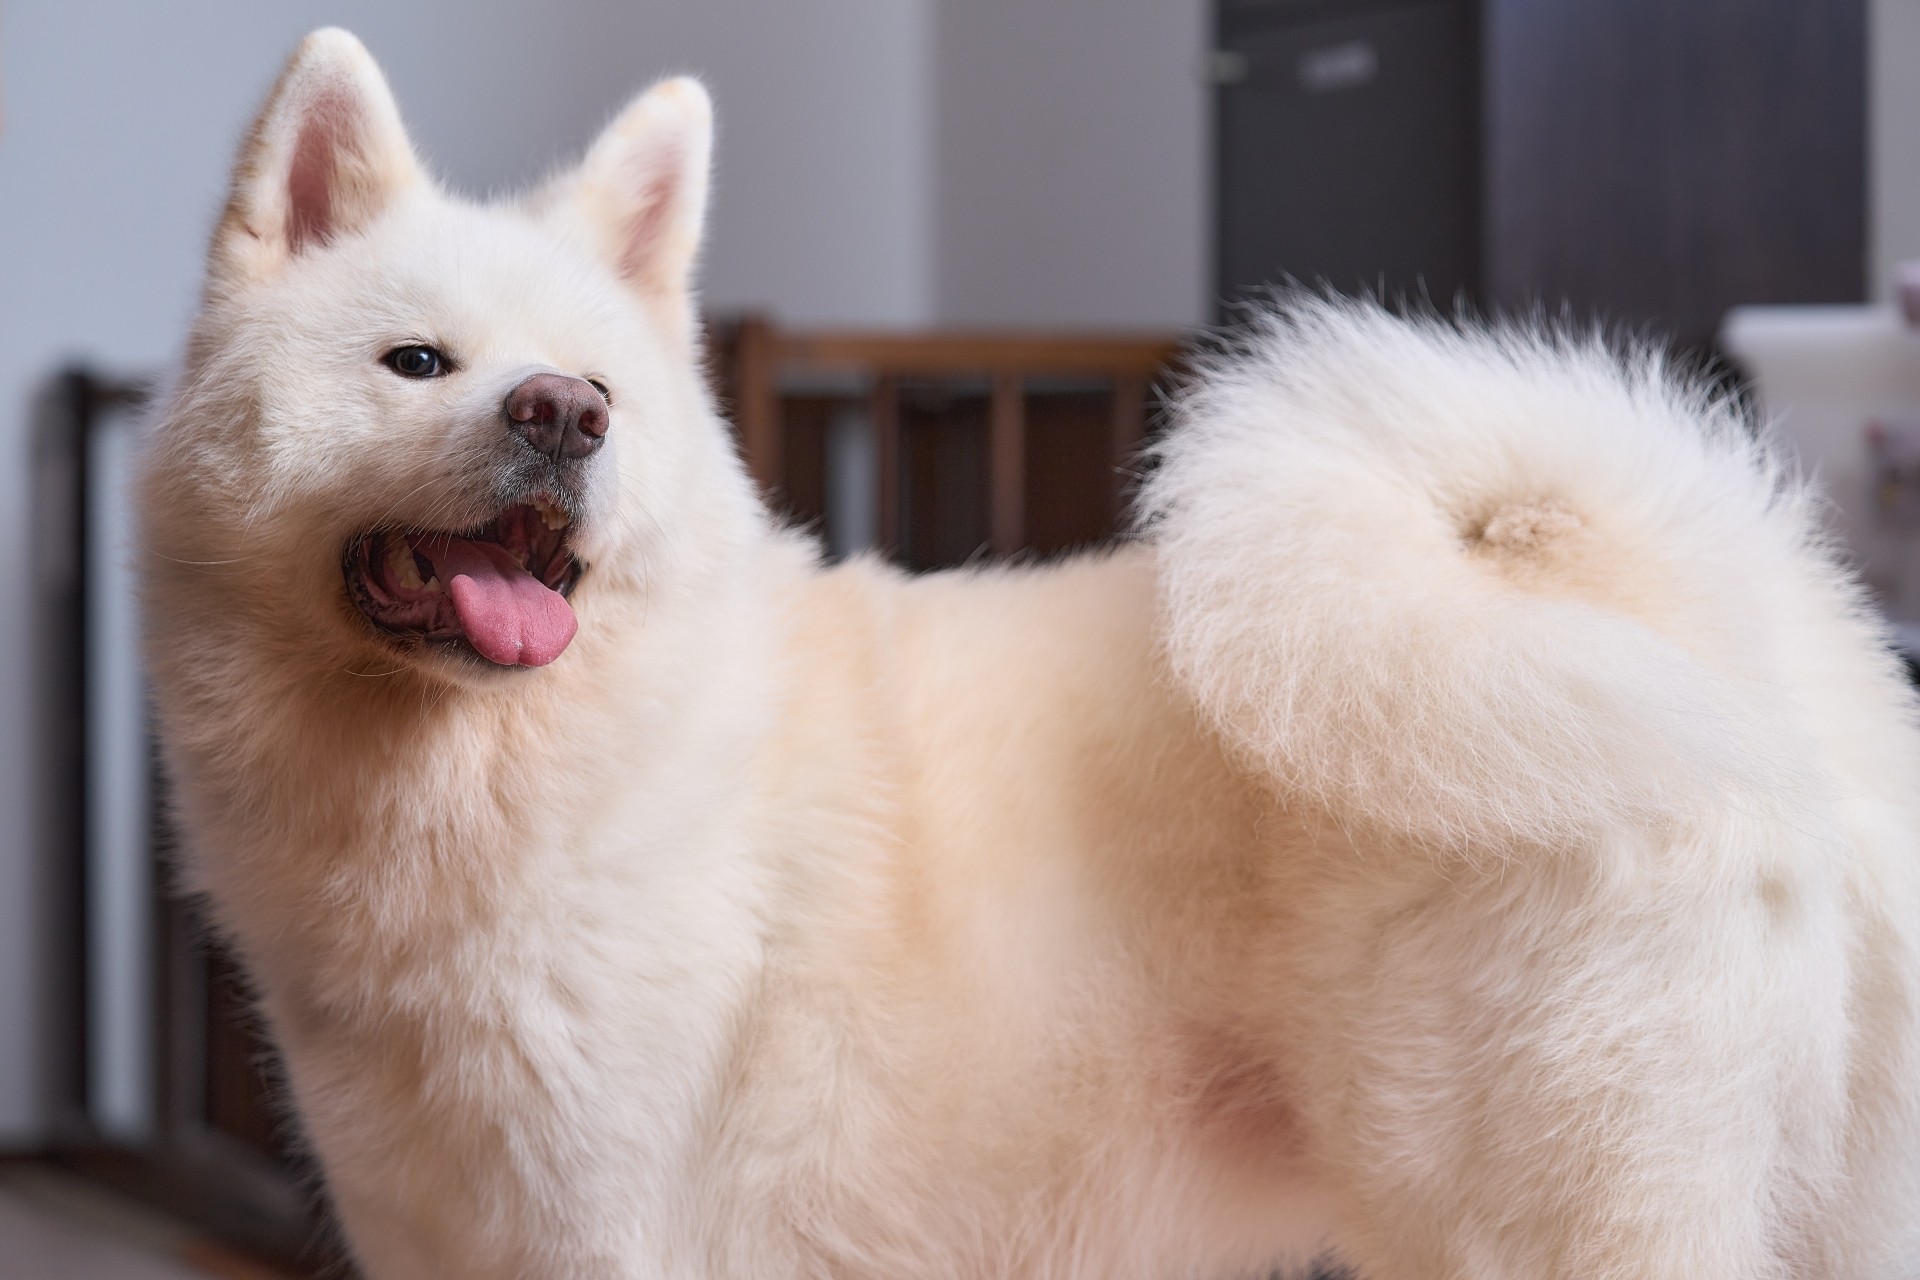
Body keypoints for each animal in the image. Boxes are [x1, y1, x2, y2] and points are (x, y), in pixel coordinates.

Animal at [135, 29, 1920, 1280]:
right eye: (415, 363)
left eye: (603, 389)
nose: (564, 415)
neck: (490, 786)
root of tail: (1723, 621)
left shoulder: (612, 1229)